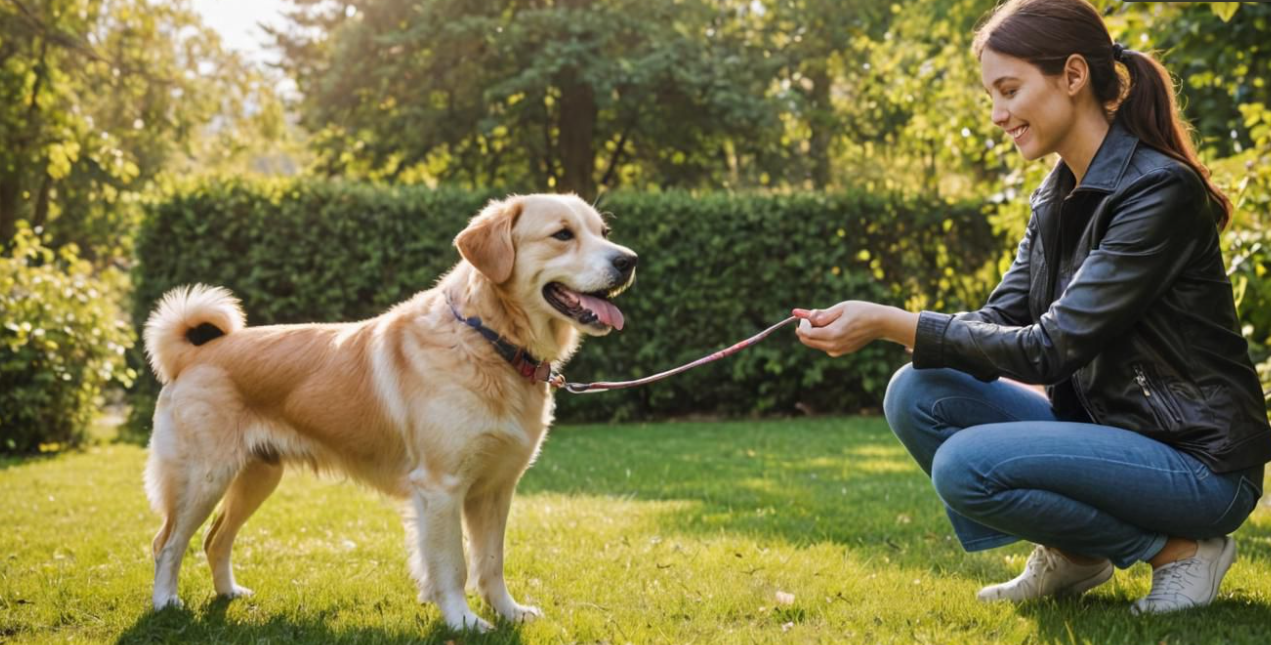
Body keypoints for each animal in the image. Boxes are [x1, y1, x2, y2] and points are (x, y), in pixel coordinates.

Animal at [142, 194, 635, 633]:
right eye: (563, 234)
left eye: (603, 232)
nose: (630, 260)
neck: (489, 339)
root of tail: (195, 354)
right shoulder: (441, 488)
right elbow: (453, 566)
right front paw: (464, 622)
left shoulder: (495, 489)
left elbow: (491, 563)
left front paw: (508, 613)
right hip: (204, 477)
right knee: (167, 541)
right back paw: (166, 603)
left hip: (257, 476)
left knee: (215, 538)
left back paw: (228, 594)